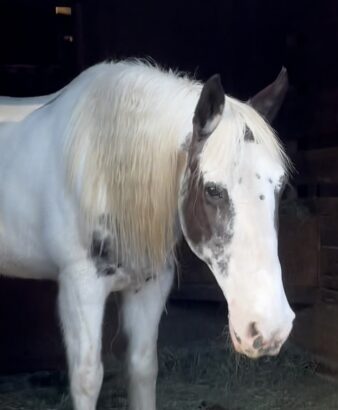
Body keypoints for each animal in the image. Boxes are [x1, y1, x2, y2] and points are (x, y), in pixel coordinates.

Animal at [0, 60, 294, 410]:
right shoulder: (80, 288)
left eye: (280, 187)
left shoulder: (150, 286)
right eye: (212, 190)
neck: (107, 172)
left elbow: (142, 368)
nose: (270, 328)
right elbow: (87, 378)